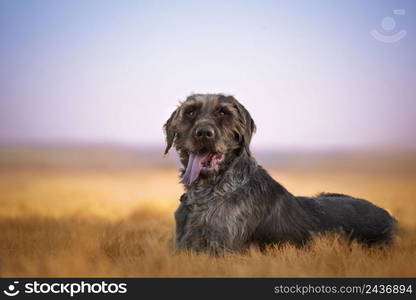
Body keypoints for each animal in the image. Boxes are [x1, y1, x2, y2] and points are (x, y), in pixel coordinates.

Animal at [162, 93, 396, 253]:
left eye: (224, 113)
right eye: (190, 112)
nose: (204, 133)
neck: (210, 191)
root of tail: (391, 218)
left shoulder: (220, 248)